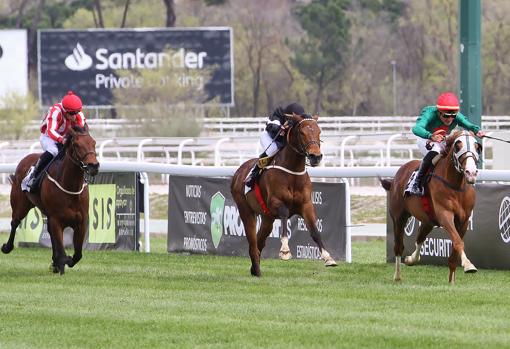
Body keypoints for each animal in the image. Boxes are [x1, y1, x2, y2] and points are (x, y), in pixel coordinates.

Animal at [2, 125, 99, 274]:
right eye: (77, 145)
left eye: (93, 142)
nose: (93, 166)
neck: (70, 186)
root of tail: (25, 158)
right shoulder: (56, 220)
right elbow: (63, 253)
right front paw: (60, 262)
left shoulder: (81, 222)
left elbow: (77, 255)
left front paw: (59, 262)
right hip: (20, 204)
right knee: (15, 222)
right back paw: (7, 247)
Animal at [232, 113, 336, 276]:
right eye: (302, 132)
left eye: (319, 132)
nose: (315, 156)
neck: (292, 173)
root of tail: (238, 173)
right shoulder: (276, 203)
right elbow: (285, 216)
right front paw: (285, 251)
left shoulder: (306, 205)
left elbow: (315, 231)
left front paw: (328, 257)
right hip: (245, 210)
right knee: (253, 241)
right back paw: (257, 269)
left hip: (267, 218)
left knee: (259, 241)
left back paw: (255, 268)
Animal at [382, 130, 482, 282]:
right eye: (457, 146)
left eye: (477, 146)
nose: (471, 173)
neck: (456, 186)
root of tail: (398, 173)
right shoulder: (445, 215)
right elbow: (458, 242)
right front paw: (468, 265)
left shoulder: (464, 220)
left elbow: (455, 248)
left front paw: (452, 281)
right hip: (399, 217)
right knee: (399, 246)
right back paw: (398, 276)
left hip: (428, 220)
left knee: (419, 238)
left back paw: (411, 259)